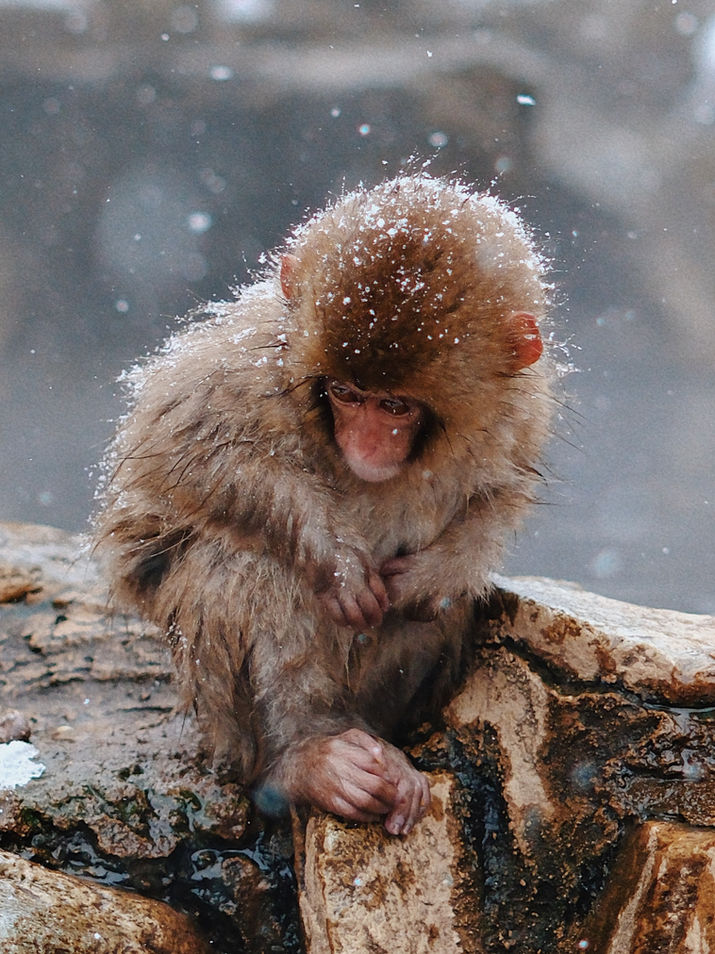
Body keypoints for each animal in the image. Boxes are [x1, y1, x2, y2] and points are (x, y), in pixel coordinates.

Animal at [94, 173, 553, 836]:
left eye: (396, 406)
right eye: (345, 393)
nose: (365, 444)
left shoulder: (518, 412)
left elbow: (497, 499)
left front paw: (429, 577)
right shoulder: (252, 363)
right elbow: (183, 450)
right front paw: (336, 560)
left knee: (433, 615)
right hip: (224, 716)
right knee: (245, 566)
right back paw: (307, 755)